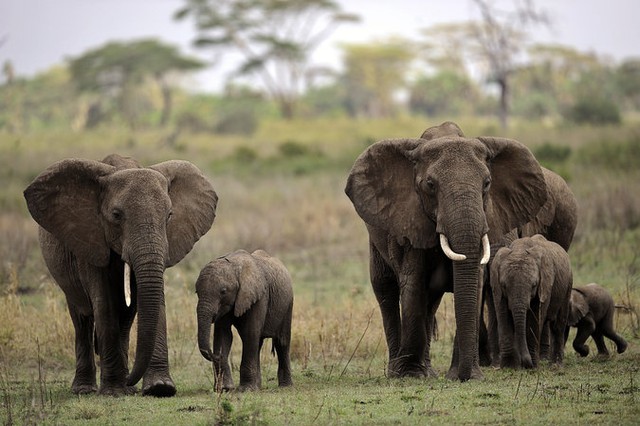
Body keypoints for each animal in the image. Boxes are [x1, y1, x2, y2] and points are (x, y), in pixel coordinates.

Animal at [23, 153, 218, 396]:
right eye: (116, 215)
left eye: (169, 215)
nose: (131, 382)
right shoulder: (91, 239)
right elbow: (104, 303)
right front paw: (114, 391)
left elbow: (154, 299)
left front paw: (160, 388)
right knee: (81, 318)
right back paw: (86, 389)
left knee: (125, 318)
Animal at [196, 250, 294, 392]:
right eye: (196, 291)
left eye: (223, 291)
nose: (217, 355)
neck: (234, 267)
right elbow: (223, 334)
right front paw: (225, 389)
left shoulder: (259, 296)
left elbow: (250, 333)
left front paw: (246, 389)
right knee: (258, 344)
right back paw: (258, 386)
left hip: (287, 304)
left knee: (282, 342)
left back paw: (285, 386)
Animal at [344, 121, 552, 382]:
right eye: (430, 185)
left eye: (487, 184)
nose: (462, 377)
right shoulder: (410, 220)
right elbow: (413, 284)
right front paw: (411, 375)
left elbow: (475, 283)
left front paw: (468, 375)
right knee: (385, 288)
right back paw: (398, 371)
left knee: (430, 301)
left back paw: (429, 370)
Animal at [488, 235, 572, 368]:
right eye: (504, 285)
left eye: (534, 285)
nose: (526, 363)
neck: (519, 250)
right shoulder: (496, 286)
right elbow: (503, 315)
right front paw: (509, 366)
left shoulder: (544, 284)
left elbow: (534, 318)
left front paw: (532, 366)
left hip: (568, 284)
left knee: (558, 325)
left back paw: (556, 365)